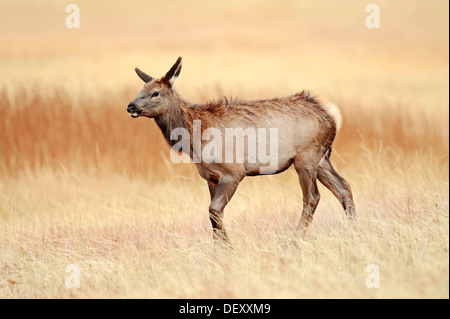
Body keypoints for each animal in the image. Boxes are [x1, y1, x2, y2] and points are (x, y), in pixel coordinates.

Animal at [126, 57, 356, 242]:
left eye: (155, 93)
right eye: (140, 91)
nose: (131, 106)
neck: (195, 139)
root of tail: (333, 114)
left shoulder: (233, 172)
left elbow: (214, 210)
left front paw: (228, 248)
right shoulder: (211, 176)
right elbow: (214, 214)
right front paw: (218, 249)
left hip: (306, 156)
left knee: (312, 197)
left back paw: (294, 241)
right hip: (322, 158)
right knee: (343, 187)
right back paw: (353, 231)